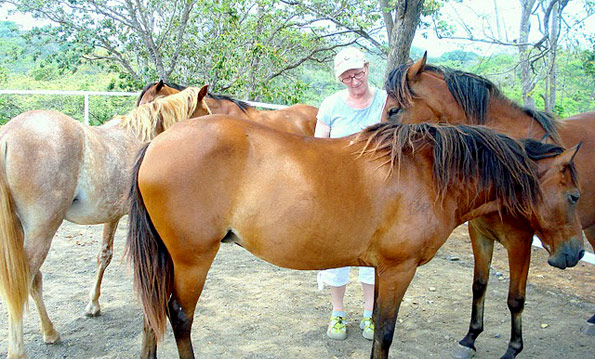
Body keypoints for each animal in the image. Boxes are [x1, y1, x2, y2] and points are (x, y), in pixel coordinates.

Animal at [0, 85, 212, 359]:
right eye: (206, 113)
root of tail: (8, 135)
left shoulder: (112, 216)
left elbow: (104, 255)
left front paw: (93, 304)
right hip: (41, 231)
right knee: (23, 282)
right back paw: (20, 350)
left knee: (32, 280)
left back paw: (50, 332)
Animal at [127, 117, 588, 359]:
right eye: (573, 196)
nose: (575, 254)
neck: (428, 174)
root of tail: (156, 143)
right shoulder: (400, 270)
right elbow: (385, 331)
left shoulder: (385, 270)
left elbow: (378, 322)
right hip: (192, 260)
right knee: (178, 317)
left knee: (152, 313)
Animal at [384, 54, 592, 359]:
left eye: (393, 110)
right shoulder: (480, 233)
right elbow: (479, 285)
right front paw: (470, 337)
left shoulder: (520, 240)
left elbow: (516, 298)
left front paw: (513, 348)